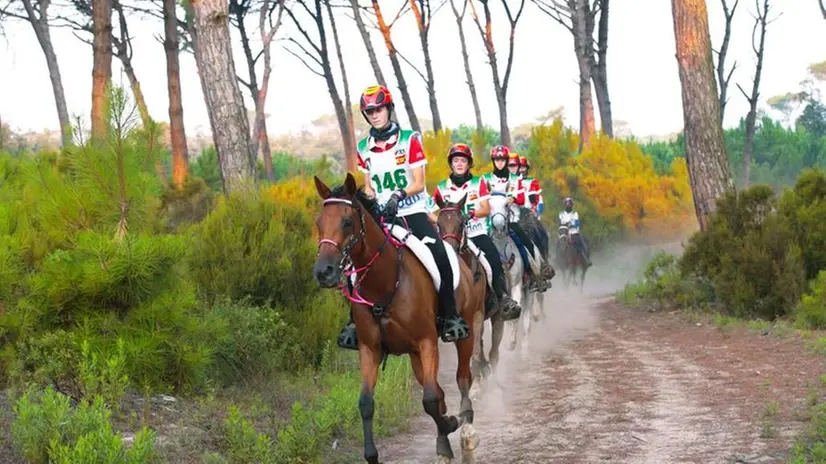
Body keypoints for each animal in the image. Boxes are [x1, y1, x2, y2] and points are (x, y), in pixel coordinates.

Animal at [310, 175, 480, 464]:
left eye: (347, 222)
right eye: (319, 222)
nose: (324, 272)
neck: (385, 283)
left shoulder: (426, 342)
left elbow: (430, 400)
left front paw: (451, 424)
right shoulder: (370, 349)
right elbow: (366, 403)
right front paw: (371, 455)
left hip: (463, 334)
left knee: (462, 378)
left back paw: (466, 429)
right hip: (413, 355)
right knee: (438, 389)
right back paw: (444, 442)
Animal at [434, 193, 506, 388]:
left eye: (461, 224)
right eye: (438, 224)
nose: (449, 251)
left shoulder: (477, 314)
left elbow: (475, 349)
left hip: (497, 315)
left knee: (494, 348)